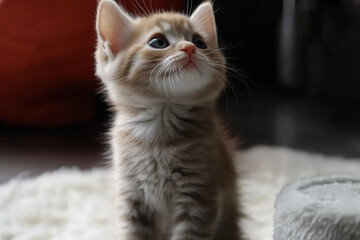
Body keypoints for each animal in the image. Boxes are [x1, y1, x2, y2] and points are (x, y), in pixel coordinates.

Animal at [95, 0, 242, 239]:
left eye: (199, 42)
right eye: (158, 42)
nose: (189, 48)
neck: (158, 139)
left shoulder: (198, 199)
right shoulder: (131, 198)